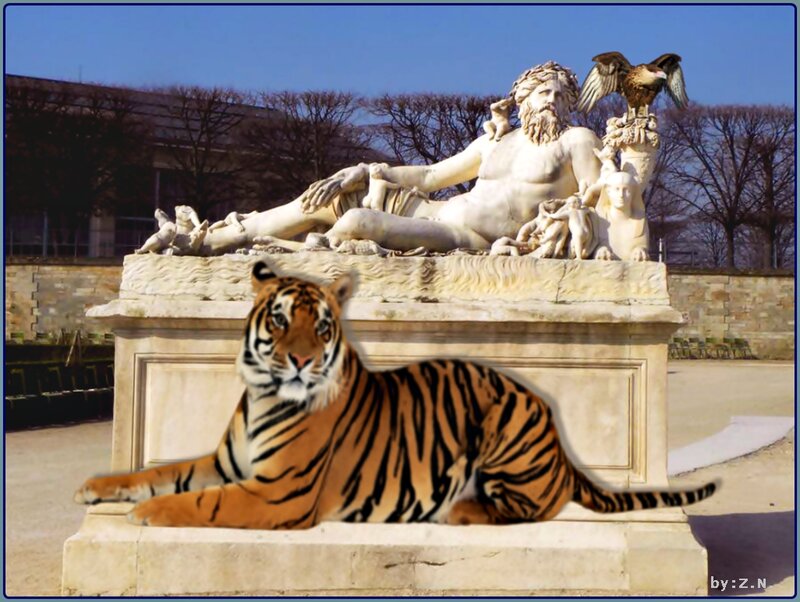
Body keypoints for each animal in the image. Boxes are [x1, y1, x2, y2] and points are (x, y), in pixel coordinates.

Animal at [75, 260, 716, 528]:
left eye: (322, 327)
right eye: (279, 321)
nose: (301, 361)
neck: (262, 396)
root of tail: (561, 450)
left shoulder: (277, 494)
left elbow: (197, 502)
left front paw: (147, 515)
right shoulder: (221, 462)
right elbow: (157, 473)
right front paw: (98, 488)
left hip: (503, 429)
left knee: (531, 507)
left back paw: (462, 510)